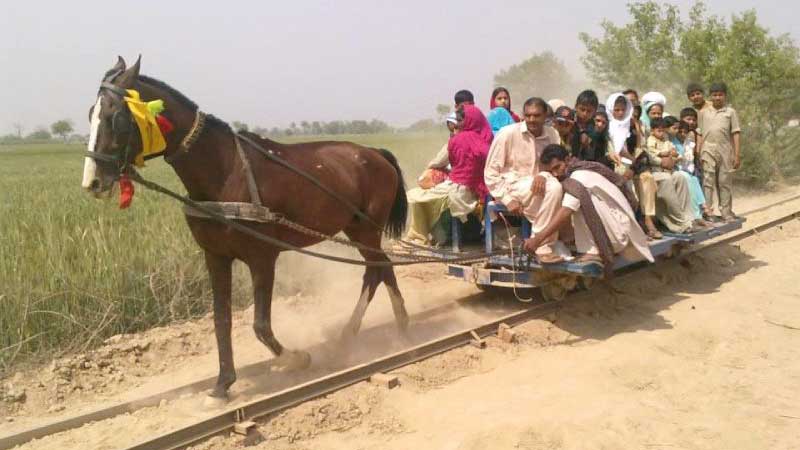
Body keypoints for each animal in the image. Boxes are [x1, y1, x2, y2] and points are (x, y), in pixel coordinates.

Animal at [79, 57, 412, 400]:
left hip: (366, 229)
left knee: (376, 270)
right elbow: (221, 319)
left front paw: (296, 358)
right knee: (381, 268)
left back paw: (375, 330)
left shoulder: (262, 257)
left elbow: (260, 325)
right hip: (357, 229)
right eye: (91, 114)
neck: (225, 172)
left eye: (116, 117)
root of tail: (375, 153)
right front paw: (223, 383)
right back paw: (382, 328)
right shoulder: (215, 256)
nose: (92, 181)